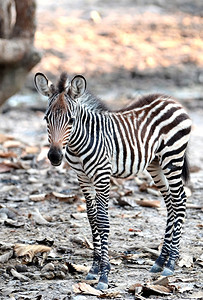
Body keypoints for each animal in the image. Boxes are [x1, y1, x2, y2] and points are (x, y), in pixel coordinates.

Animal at [34, 71, 192, 290]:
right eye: (46, 118)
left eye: (71, 120)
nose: (55, 156)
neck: (78, 143)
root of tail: (171, 100)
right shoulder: (83, 178)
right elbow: (92, 219)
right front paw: (93, 269)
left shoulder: (102, 176)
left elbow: (103, 220)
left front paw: (104, 275)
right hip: (155, 164)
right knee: (170, 203)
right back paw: (160, 260)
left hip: (172, 159)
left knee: (180, 201)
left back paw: (170, 263)